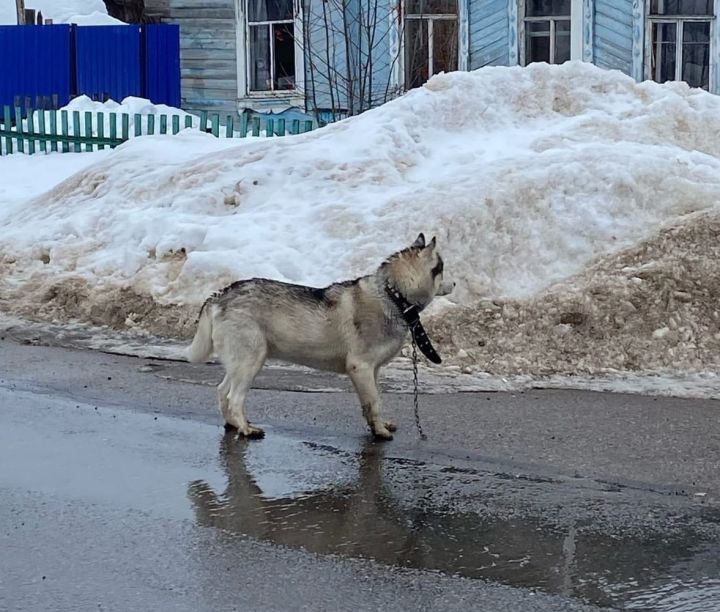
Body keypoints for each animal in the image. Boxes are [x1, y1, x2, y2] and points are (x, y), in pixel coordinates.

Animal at [188, 234, 452, 440]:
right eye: (442, 269)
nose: (455, 283)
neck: (393, 295)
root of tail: (219, 295)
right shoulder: (361, 367)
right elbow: (374, 402)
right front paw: (379, 431)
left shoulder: (373, 370)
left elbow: (374, 400)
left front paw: (378, 424)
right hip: (250, 362)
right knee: (234, 397)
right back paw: (245, 428)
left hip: (239, 363)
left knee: (222, 391)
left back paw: (233, 423)